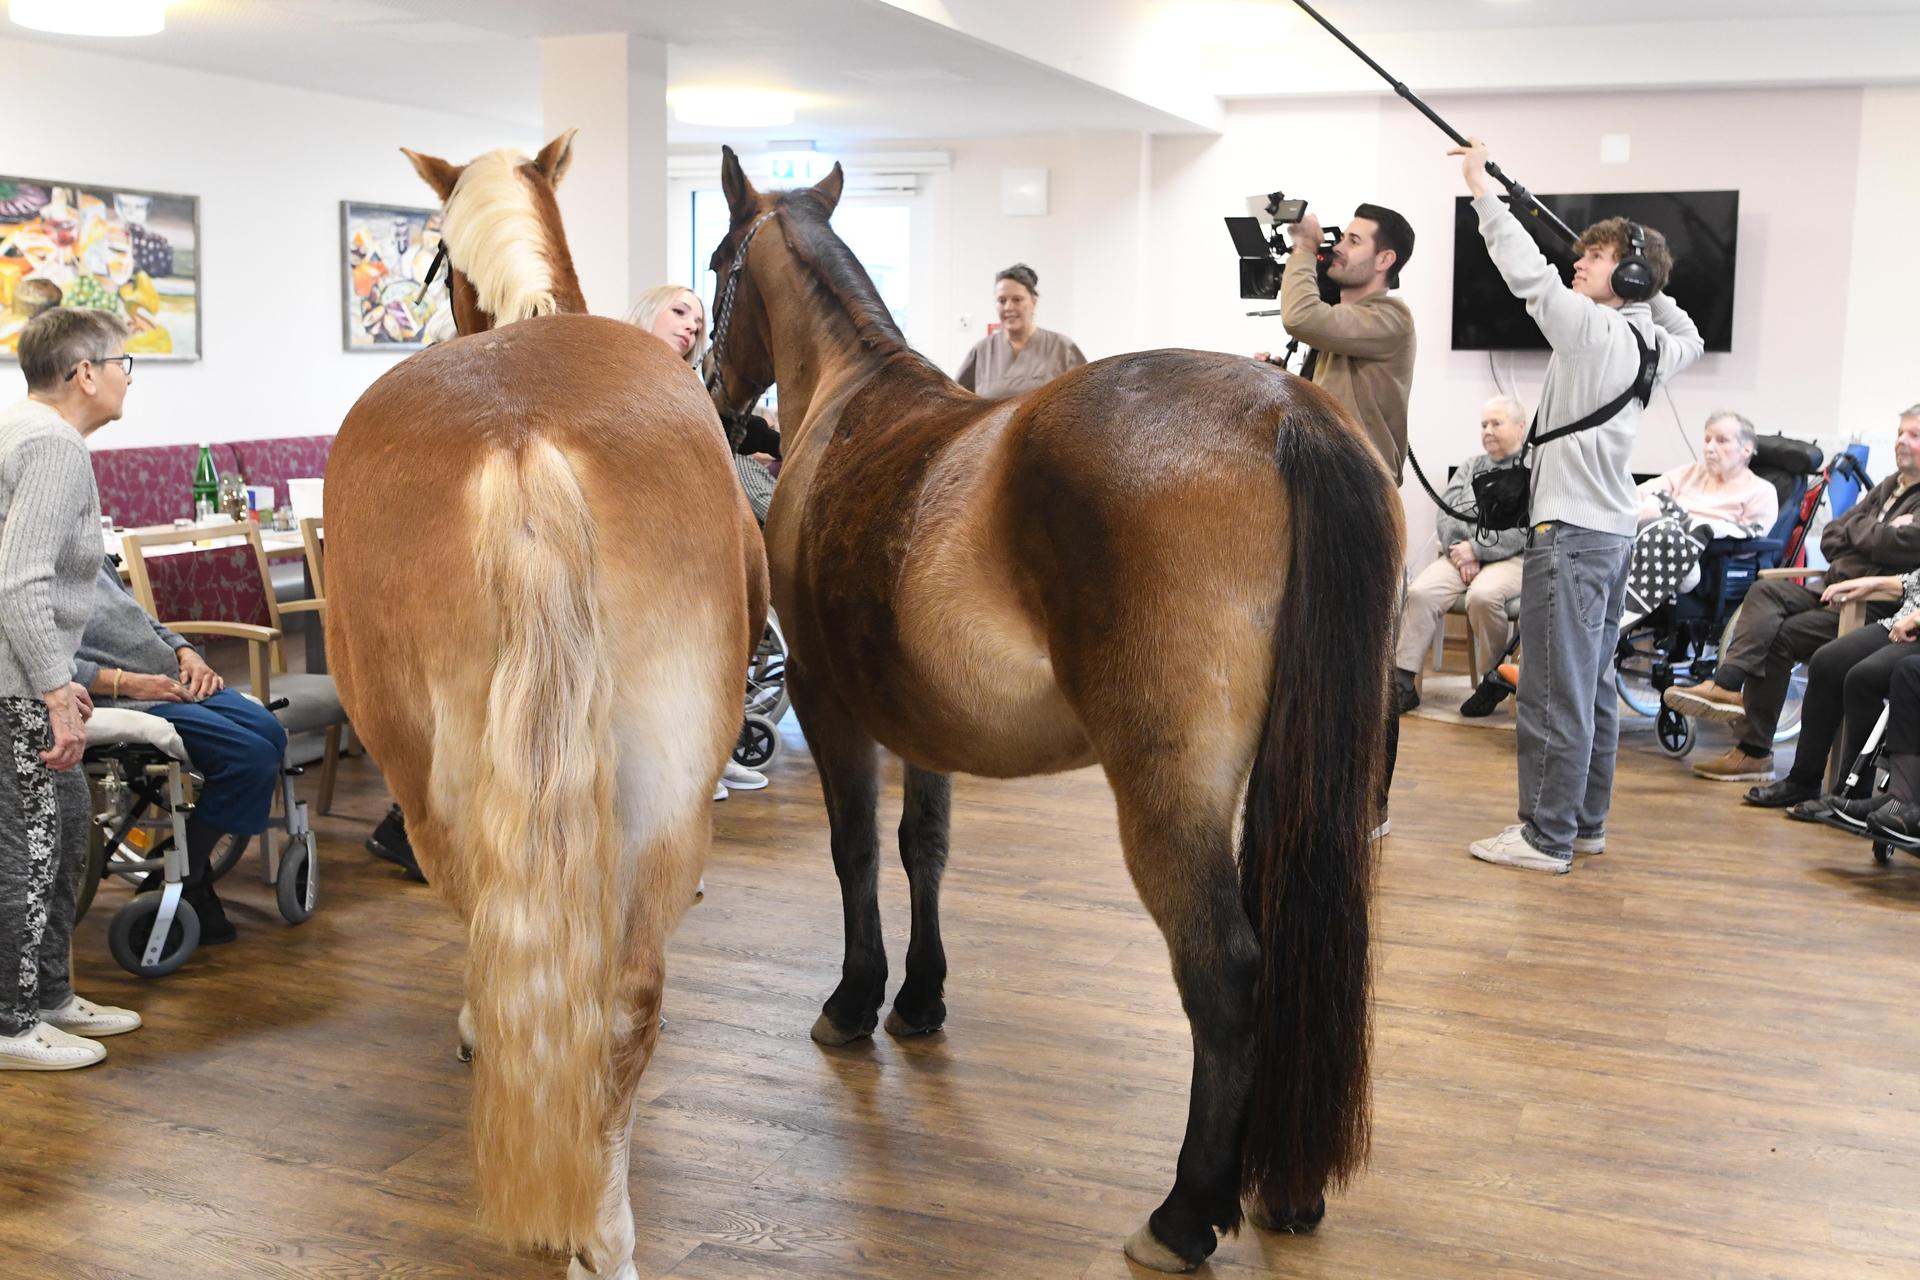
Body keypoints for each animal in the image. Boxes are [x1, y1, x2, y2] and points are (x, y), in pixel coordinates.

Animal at [324, 132, 767, 1280]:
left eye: (433, 255)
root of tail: (521, 439)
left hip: (433, 790)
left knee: (511, 944)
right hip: (665, 790)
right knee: (625, 998)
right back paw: (606, 1229)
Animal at [701, 146, 1403, 1272]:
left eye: (721, 262)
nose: (712, 388)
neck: (850, 401)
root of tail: (1283, 411)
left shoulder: (830, 699)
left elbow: (857, 851)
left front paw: (854, 1000)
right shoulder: (920, 719)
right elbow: (925, 847)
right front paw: (921, 999)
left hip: (1167, 790)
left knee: (1227, 972)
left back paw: (1183, 1211)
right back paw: (1286, 1191)